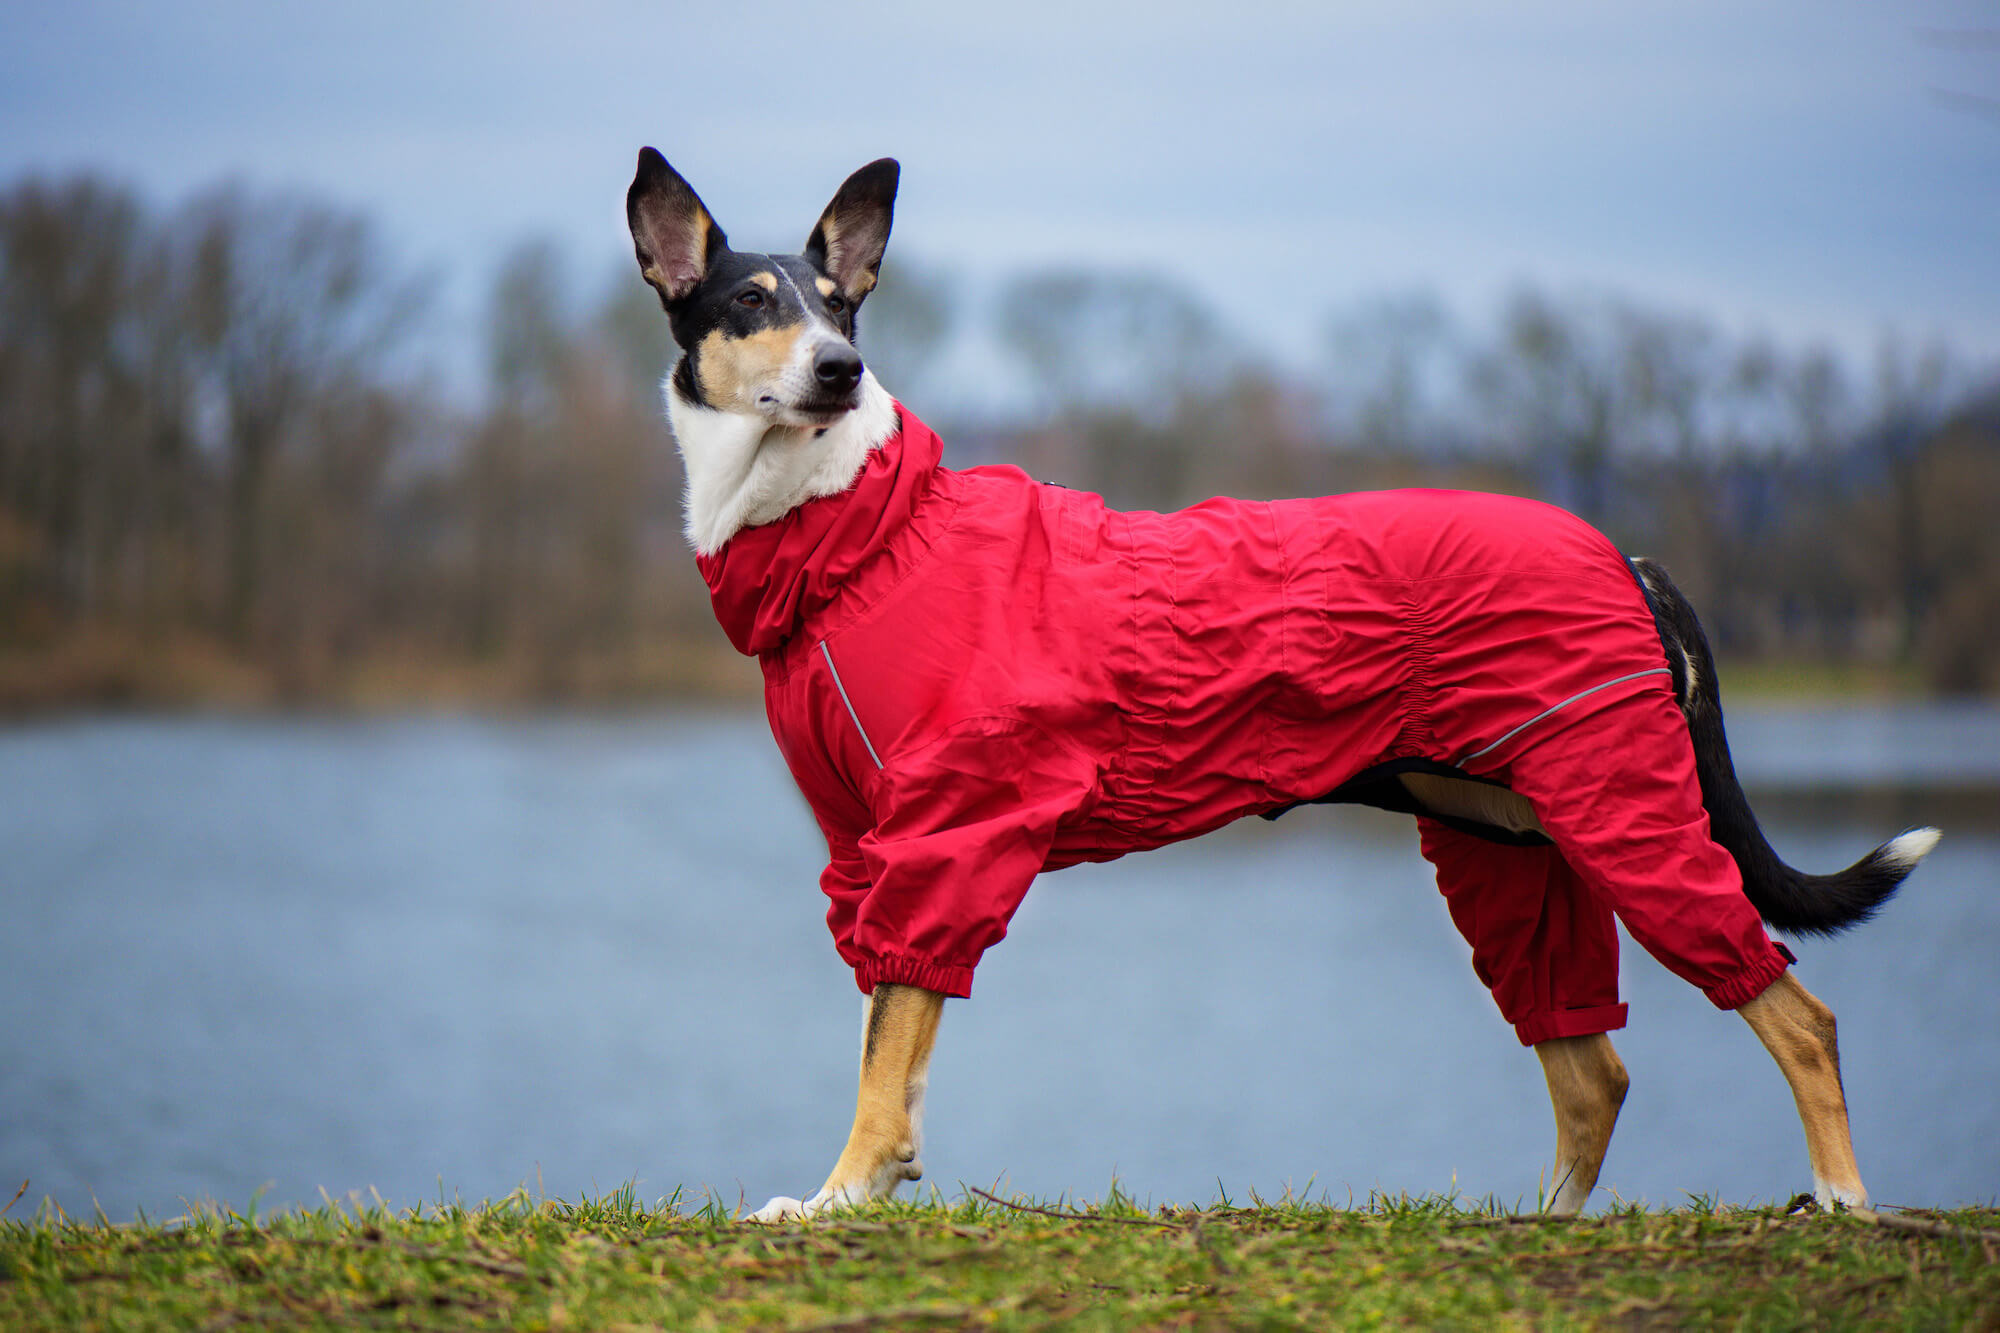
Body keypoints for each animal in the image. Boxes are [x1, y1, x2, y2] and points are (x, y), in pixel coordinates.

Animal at [624, 145, 1936, 1216]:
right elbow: (886, 1041)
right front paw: (871, 1188)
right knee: (1591, 1069)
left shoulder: (952, 833)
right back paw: (1540, 1225)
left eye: (841, 304)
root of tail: (1623, 552)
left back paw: (1840, 1202)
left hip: (1628, 819)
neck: (858, 527)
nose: (840, 369)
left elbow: (885, 1052)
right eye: (750, 302)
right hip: (1513, 852)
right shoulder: (871, 850)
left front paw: (829, 1199)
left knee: (1796, 1017)